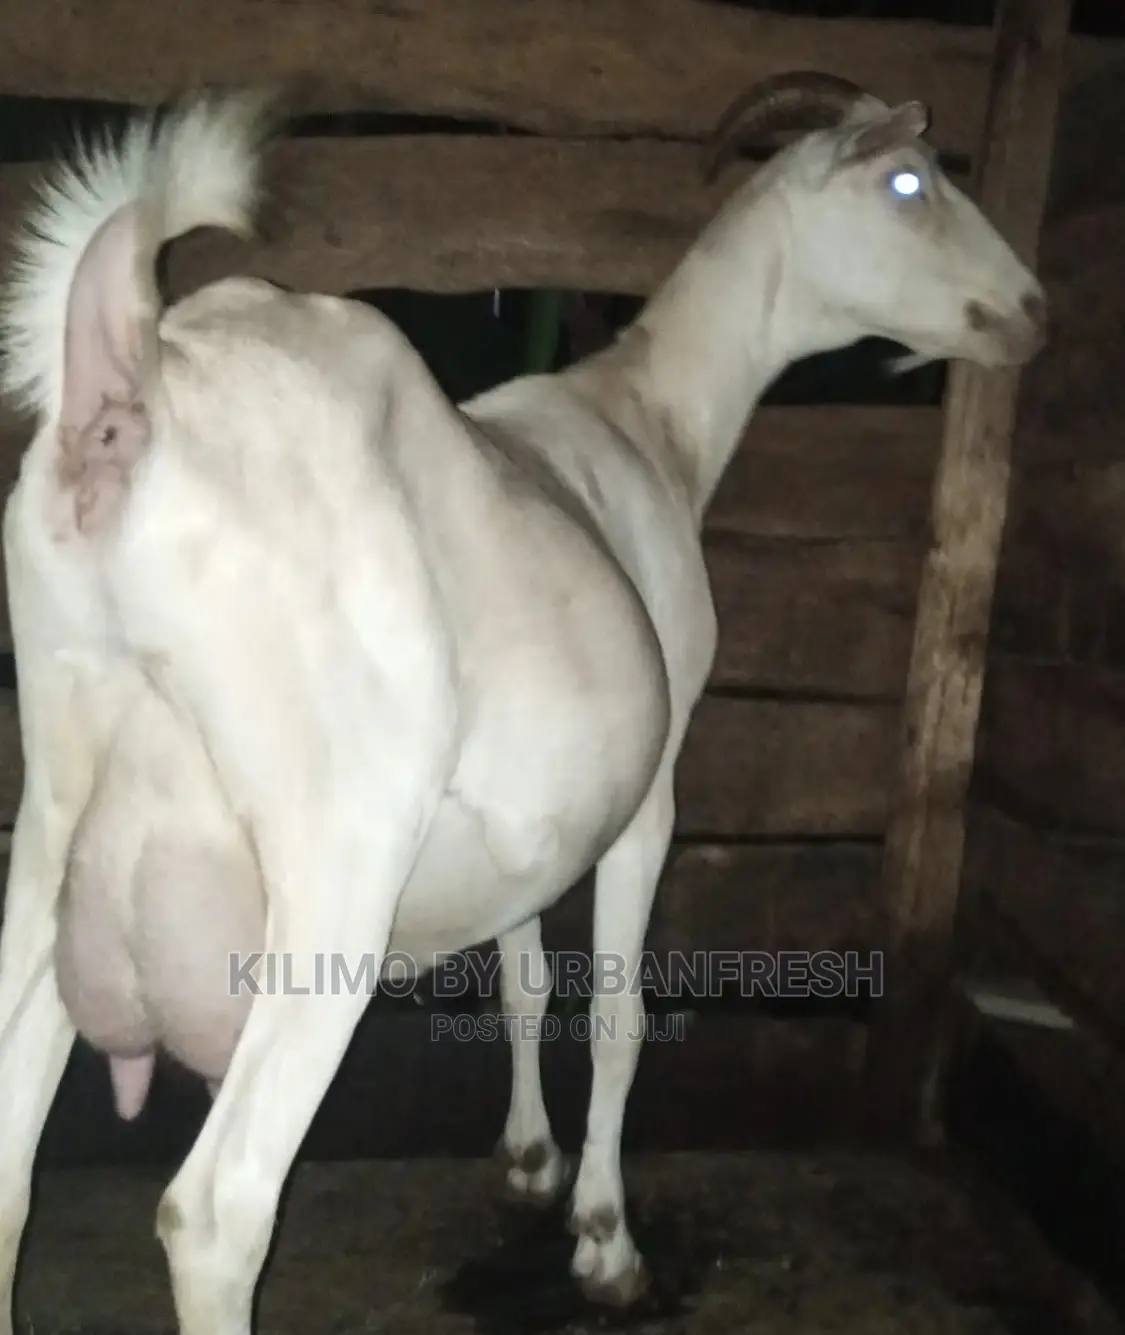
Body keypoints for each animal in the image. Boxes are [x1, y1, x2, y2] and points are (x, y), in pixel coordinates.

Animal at [0, 72, 1045, 1335]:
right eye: (909, 183)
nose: (1033, 309)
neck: (649, 421)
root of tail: (127, 393)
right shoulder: (654, 782)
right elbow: (618, 1013)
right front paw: (603, 1236)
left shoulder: (526, 828)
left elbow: (526, 982)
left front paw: (531, 1158)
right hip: (336, 854)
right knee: (216, 1212)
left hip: (56, 808)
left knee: (7, 1155)